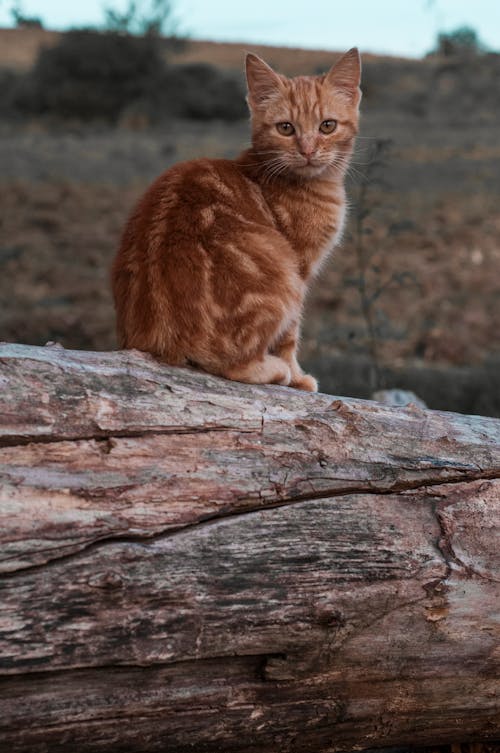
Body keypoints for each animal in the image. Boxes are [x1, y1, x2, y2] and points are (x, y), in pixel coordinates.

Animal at [112, 47, 362, 390]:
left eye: (327, 126)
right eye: (286, 128)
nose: (308, 150)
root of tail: (159, 339)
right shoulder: (299, 266)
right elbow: (290, 335)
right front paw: (297, 376)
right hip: (281, 278)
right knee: (232, 365)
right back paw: (274, 370)